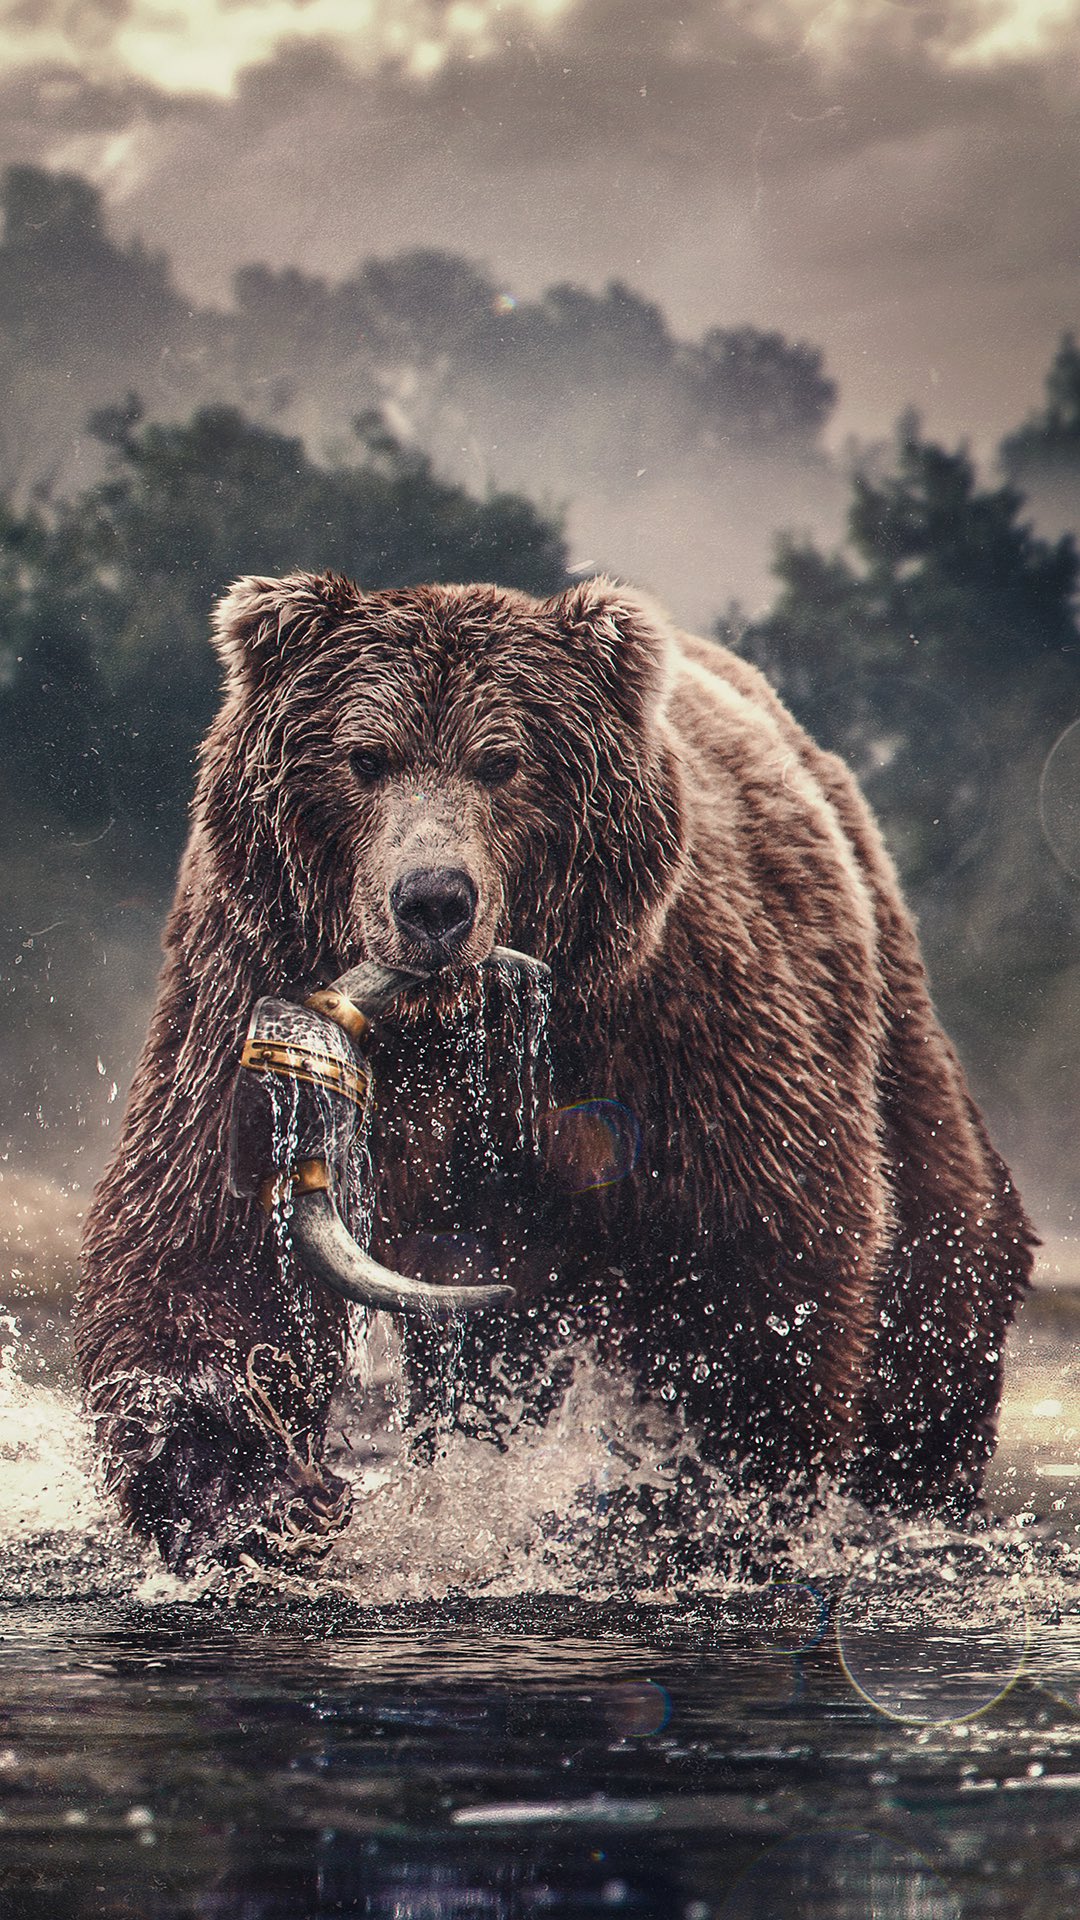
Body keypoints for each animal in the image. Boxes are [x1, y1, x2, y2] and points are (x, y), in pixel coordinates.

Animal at [76, 572, 1035, 1573]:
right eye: (364, 757)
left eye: (503, 761)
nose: (433, 901)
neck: (459, 1026)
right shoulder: (238, 975)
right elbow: (205, 1240)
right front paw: (258, 1499)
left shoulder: (678, 1026)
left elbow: (759, 1255)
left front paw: (681, 1504)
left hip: (883, 999)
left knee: (939, 1240)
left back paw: (917, 1473)